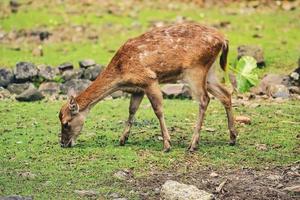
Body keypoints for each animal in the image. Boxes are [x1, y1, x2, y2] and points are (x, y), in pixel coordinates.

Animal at [58, 21, 237, 152]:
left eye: (66, 123)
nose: (63, 143)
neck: (121, 73)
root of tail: (223, 39)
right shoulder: (138, 89)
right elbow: (132, 110)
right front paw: (122, 139)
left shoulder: (149, 79)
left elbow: (158, 109)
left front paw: (167, 144)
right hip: (209, 72)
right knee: (225, 93)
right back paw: (233, 137)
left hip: (195, 70)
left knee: (204, 99)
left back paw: (193, 144)